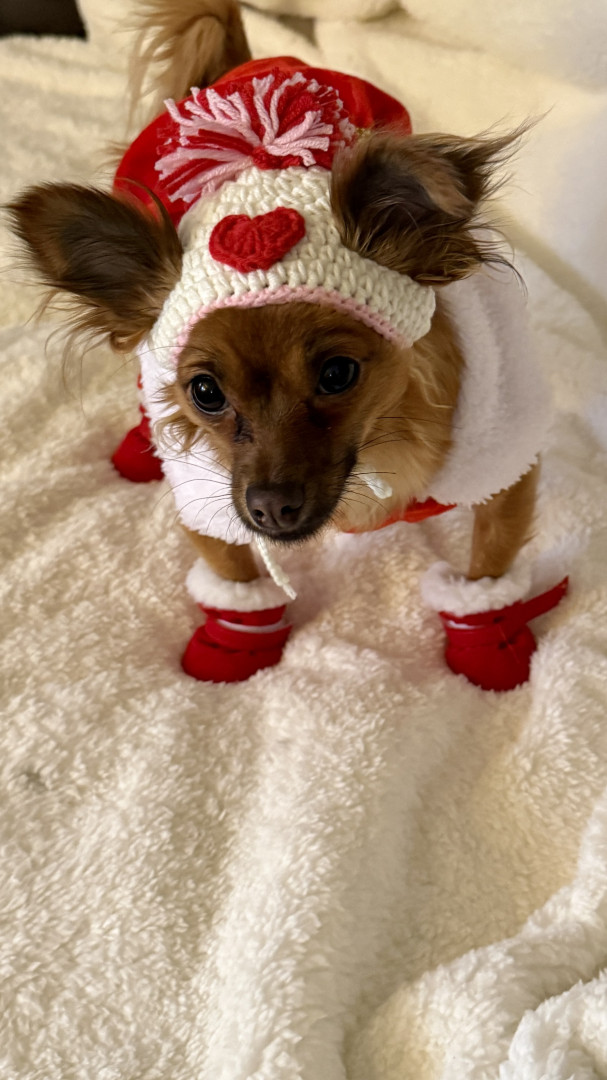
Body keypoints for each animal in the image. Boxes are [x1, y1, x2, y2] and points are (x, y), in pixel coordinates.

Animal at [8, 0, 568, 690]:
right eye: (205, 392)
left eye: (338, 374)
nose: (272, 509)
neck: (379, 447)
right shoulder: (208, 494)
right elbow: (231, 572)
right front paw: (236, 640)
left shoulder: (503, 457)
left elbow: (491, 559)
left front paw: (487, 635)